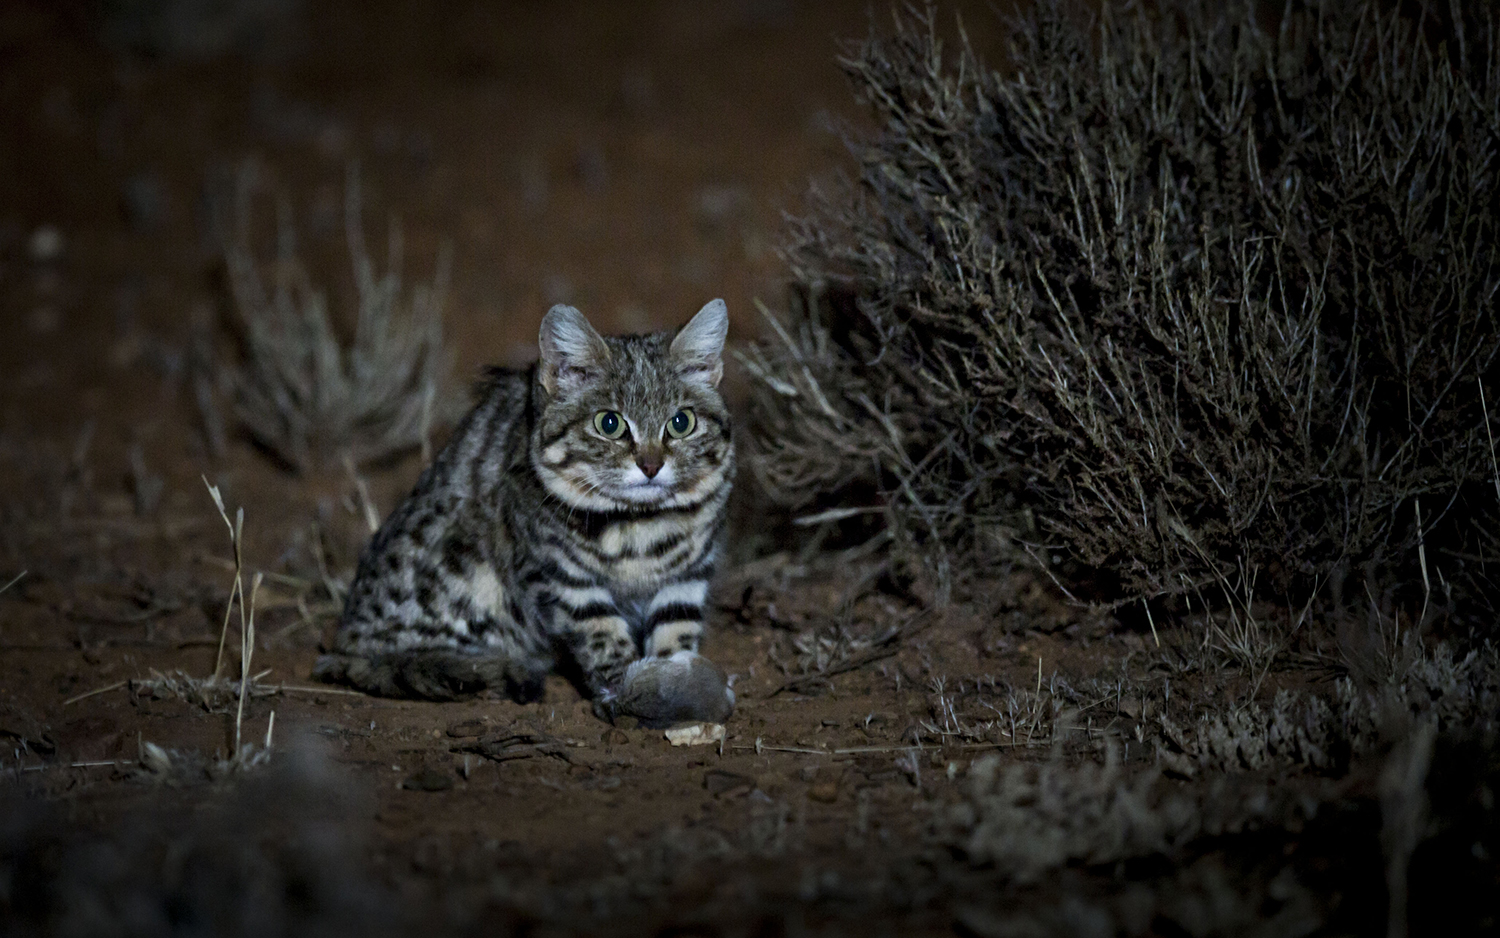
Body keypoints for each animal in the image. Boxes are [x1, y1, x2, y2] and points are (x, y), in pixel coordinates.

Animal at [313, 300, 735, 723]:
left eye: (681, 422)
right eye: (609, 423)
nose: (651, 466)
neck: (641, 523)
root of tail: (347, 645)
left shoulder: (688, 574)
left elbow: (676, 631)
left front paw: (677, 684)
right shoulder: (561, 578)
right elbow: (603, 636)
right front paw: (633, 691)